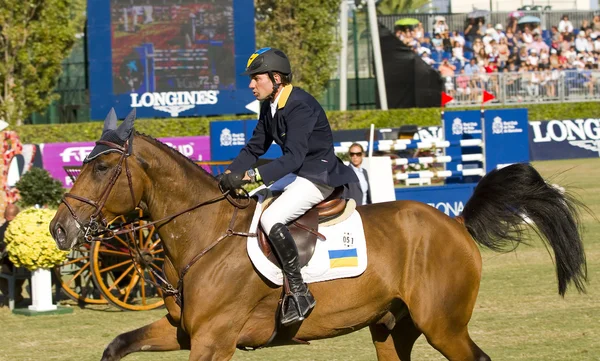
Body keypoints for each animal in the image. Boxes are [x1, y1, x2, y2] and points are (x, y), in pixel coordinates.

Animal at [50, 113, 584, 360]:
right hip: (392, 328)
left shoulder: (213, 341)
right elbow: (118, 344)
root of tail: (453, 223)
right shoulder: (184, 333)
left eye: (101, 168)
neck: (206, 237)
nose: (59, 228)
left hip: (443, 324)